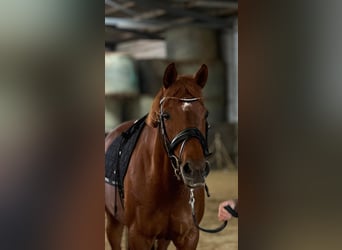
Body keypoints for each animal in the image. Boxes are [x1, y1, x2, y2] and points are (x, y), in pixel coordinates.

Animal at [105, 63, 211, 249]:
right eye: (166, 115)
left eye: (205, 114)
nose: (196, 169)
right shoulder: (138, 237)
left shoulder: (189, 236)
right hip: (113, 222)